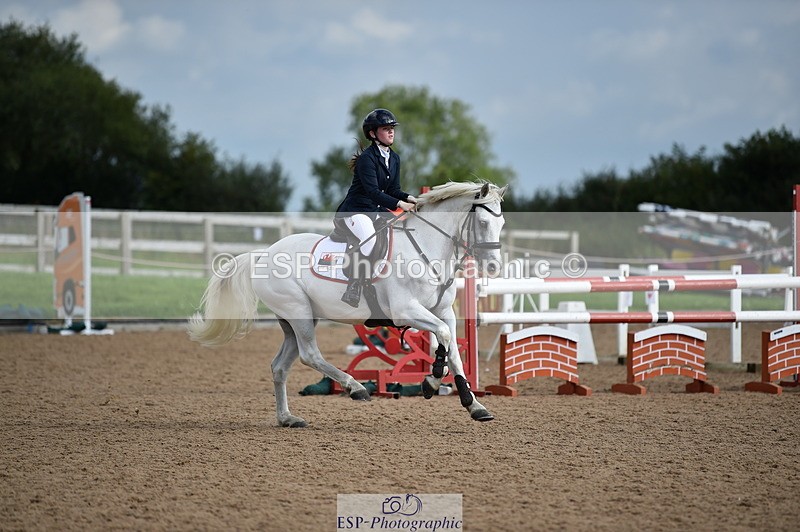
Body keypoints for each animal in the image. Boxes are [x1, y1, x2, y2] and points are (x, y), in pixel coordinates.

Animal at [187, 181, 506, 427]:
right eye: (482, 222)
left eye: (501, 223)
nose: (493, 267)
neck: (426, 248)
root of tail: (262, 254)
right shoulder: (406, 311)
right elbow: (443, 336)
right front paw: (432, 382)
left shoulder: (442, 311)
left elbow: (452, 347)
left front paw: (473, 404)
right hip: (299, 313)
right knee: (310, 355)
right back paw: (356, 388)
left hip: (295, 320)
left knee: (280, 366)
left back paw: (288, 418)